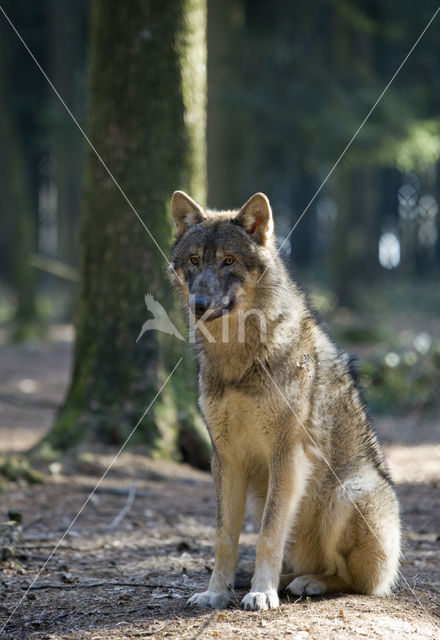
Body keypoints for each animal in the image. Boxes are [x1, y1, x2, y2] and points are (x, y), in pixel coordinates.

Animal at [167, 189, 400, 608]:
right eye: (194, 261)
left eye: (228, 261)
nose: (198, 304)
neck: (238, 360)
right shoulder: (225, 457)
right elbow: (225, 538)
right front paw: (216, 593)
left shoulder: (287, 454)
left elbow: (268, 534)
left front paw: (261, 594)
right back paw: (288, 579)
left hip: (348, 493)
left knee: (355, 581)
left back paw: (309, 583)